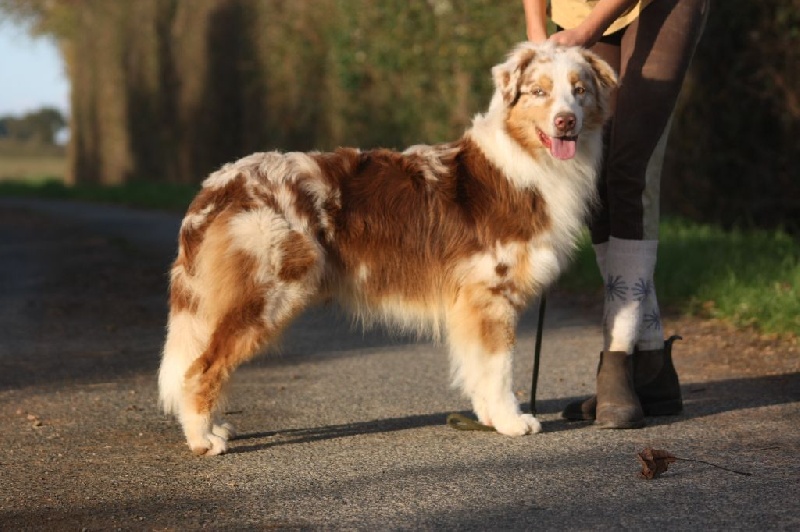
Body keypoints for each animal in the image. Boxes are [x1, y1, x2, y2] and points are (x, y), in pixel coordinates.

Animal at [158, 43, 620, 456]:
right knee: (200, 368)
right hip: (269, 292)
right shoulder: (491, 292)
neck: (528, 164)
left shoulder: (472, 302)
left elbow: (478, 368)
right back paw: (203, 440)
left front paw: (489, 418)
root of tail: (221, 182)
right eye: (539, 91)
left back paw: (215, 427)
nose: (566, 121)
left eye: (579, 90)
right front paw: (511, 421)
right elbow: (499, 367)